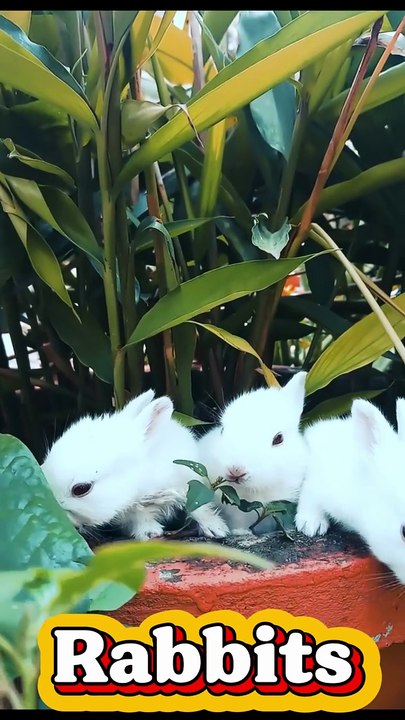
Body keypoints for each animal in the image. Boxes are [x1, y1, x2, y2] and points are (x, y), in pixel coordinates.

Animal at [41, 389, 228, 541]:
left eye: (81, 489)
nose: (64, 519)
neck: (142, 479)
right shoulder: (131, 510)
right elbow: (140, 518)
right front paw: (150, 532)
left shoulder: (191, 488)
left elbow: (200, 509)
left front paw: (217, 529)